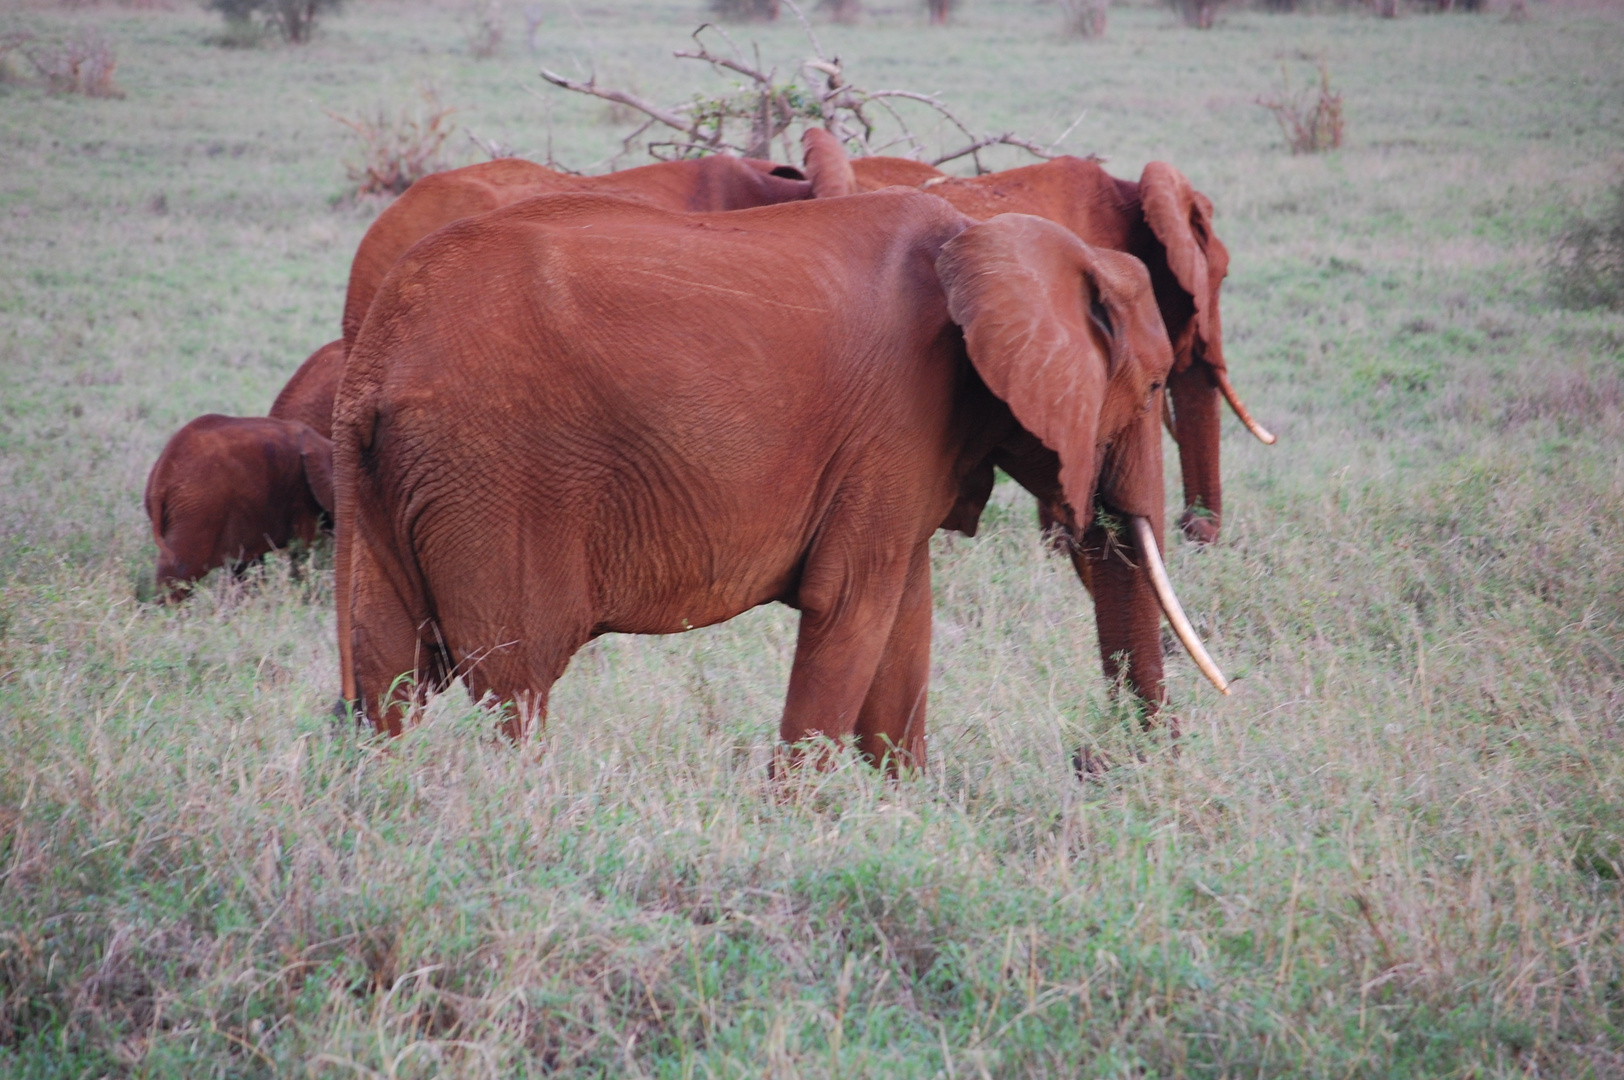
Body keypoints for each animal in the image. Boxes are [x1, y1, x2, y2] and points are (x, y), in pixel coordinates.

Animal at [339, 194, 1227, 766]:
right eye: (1152, 384)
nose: (1107, 759)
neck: (991, 237)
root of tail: (382, 354)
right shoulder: (897, 420)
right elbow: (852, 605)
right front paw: (808, 817)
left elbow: (904, 617)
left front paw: (903, 810)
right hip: (492, 477)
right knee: (513, 683)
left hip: (385, 480)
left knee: (386, 676)